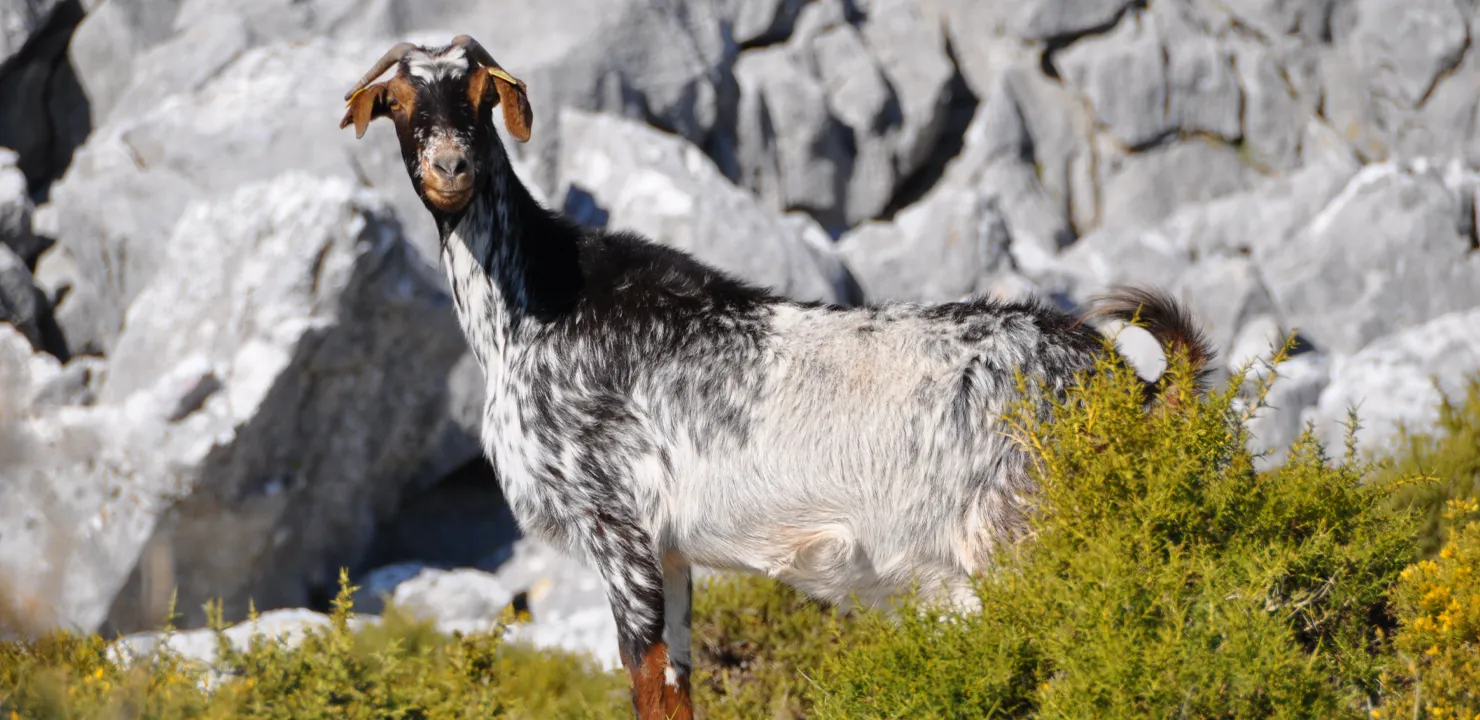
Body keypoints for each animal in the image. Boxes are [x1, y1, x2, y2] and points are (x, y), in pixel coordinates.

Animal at [339, 36, 1213, 720]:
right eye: (400, 101)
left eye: (480, 97)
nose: (451, 166)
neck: (537, 307)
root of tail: (1125, 383)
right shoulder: (671, 550)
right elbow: (677, 685)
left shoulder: (614, 523)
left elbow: (643, 679)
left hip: (1021, 534)